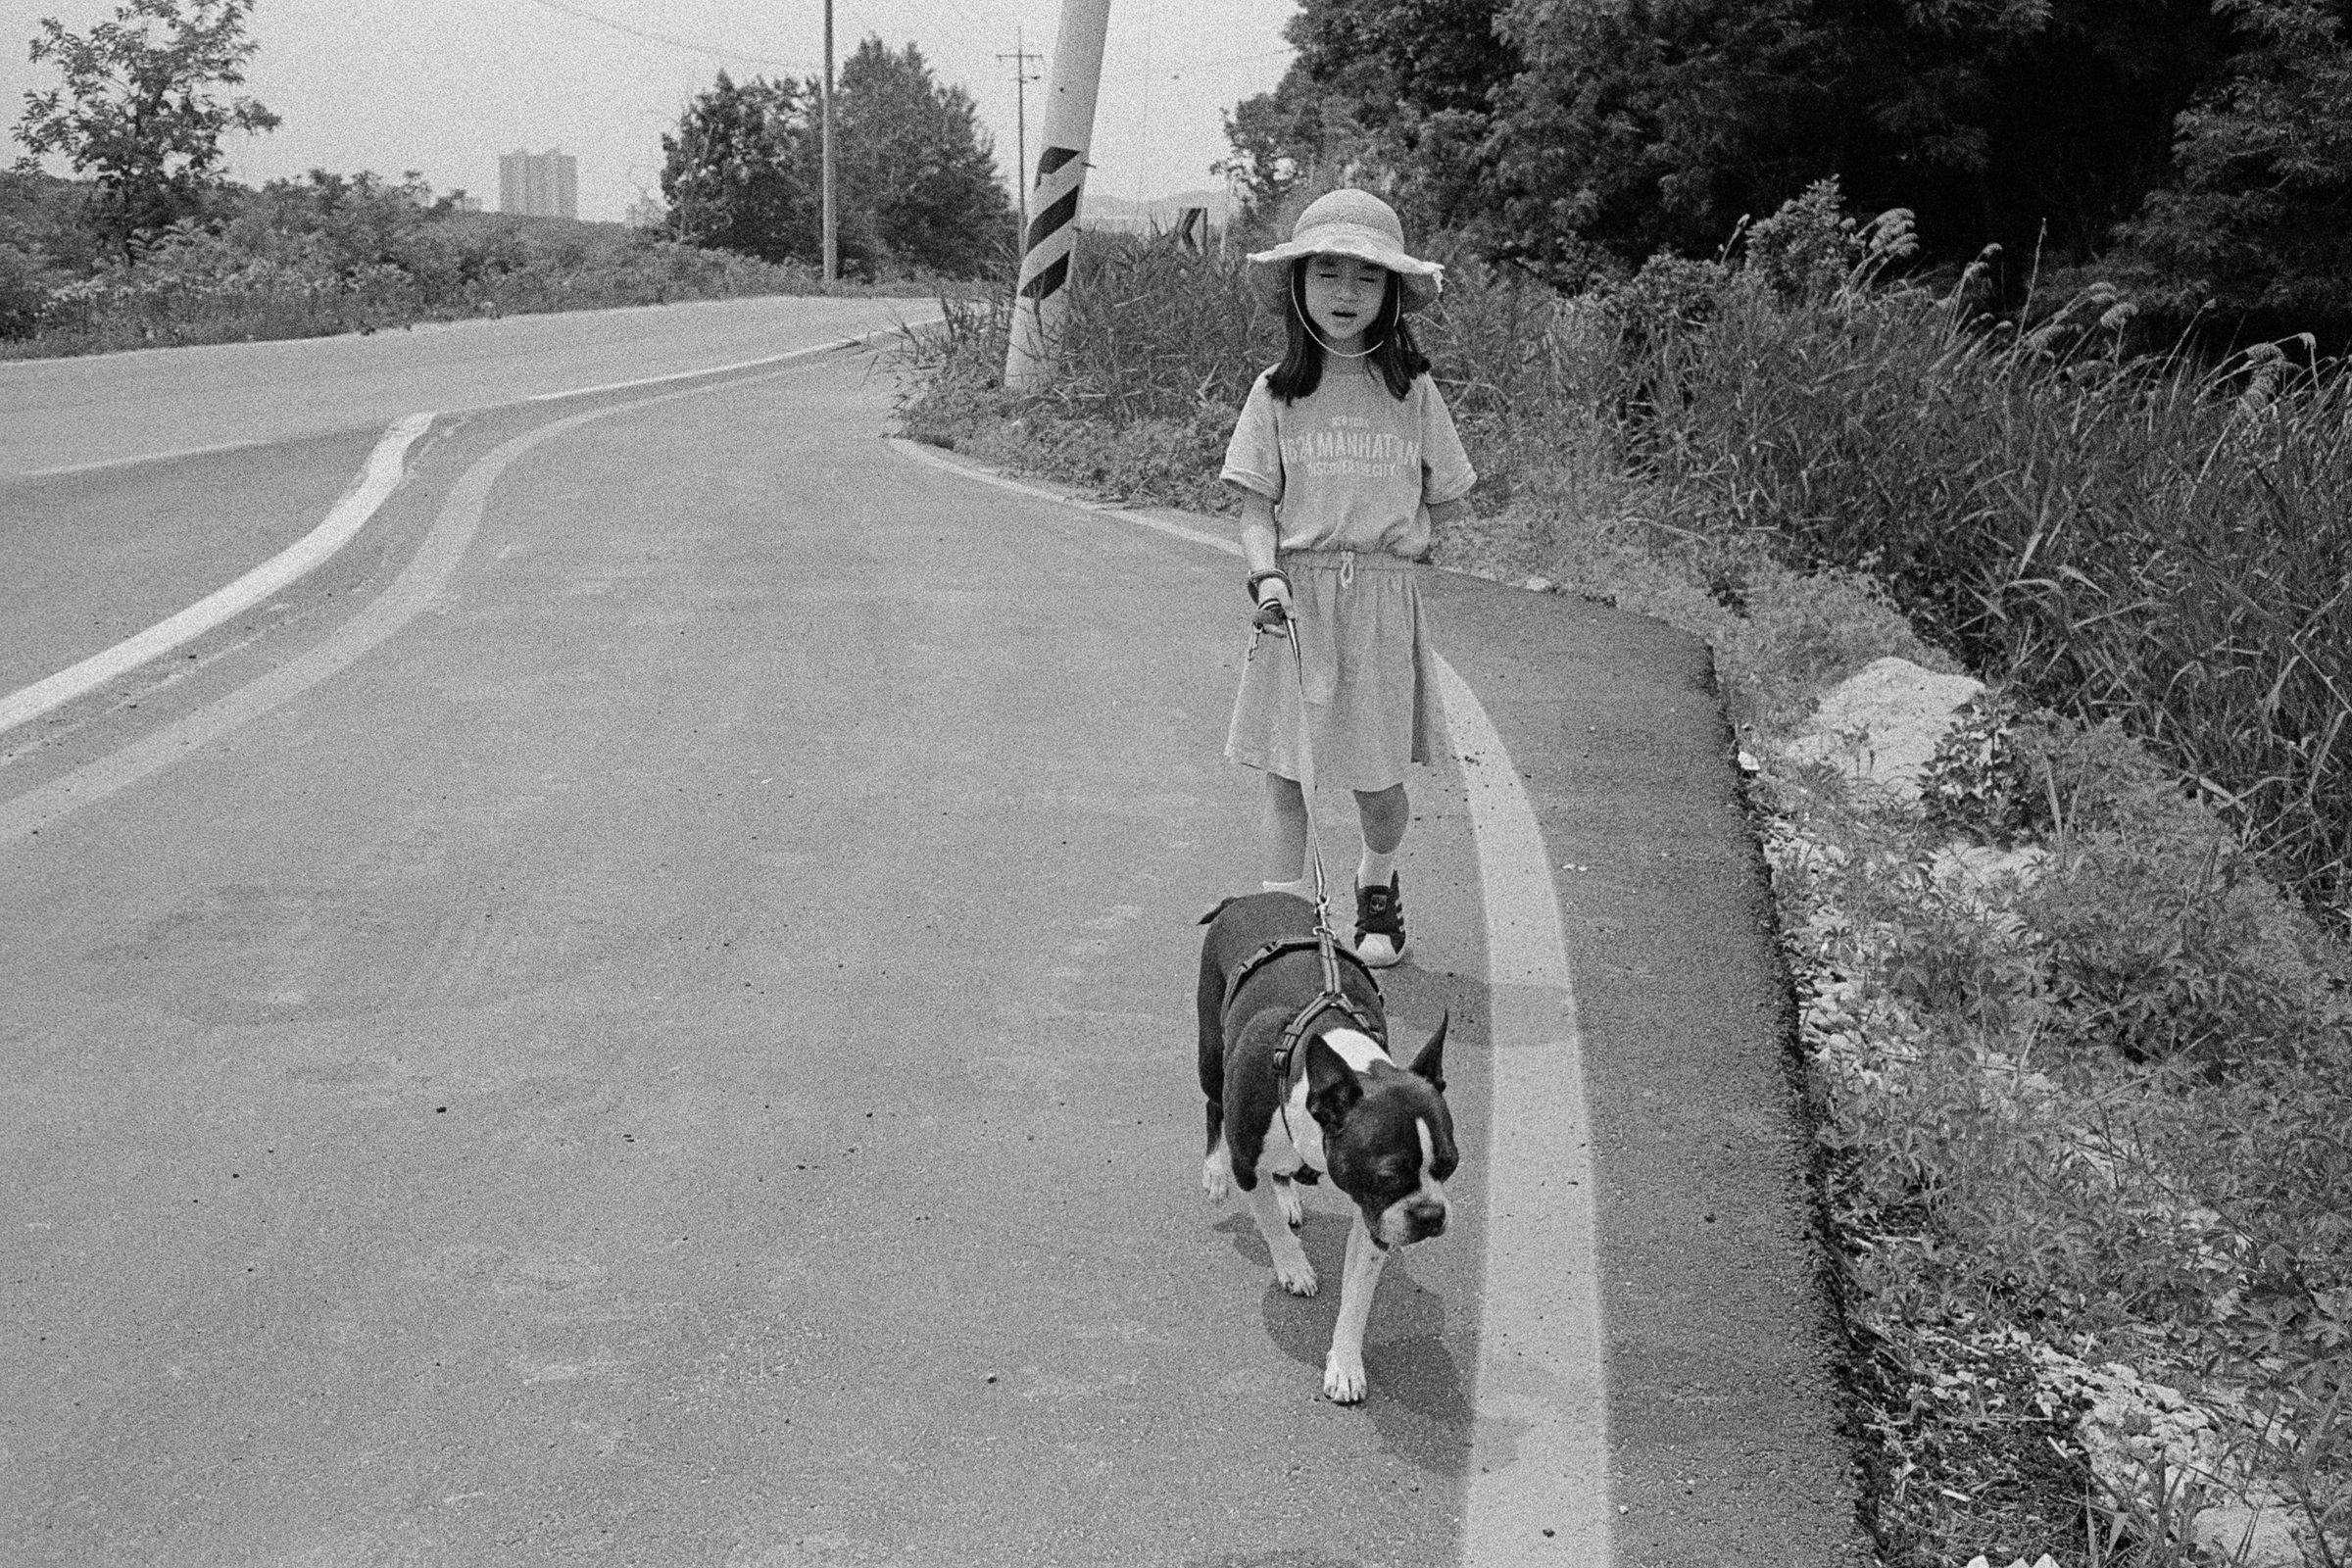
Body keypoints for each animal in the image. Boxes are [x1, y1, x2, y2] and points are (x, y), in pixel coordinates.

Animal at [1195, 890, 1457, 1403]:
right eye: (1388, 1175)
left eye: (1450, 1166)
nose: (1431, 1214)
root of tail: (1247, 897)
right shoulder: (1248, 1165)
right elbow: (1269, 1224)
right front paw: (1293, 1266)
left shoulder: (1375, 1217)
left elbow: (1356, 1296)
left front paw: (1346, 1364)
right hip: (1210, 1052)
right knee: (1213, 1106)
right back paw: (1215, 1174)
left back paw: (1290, 1194)